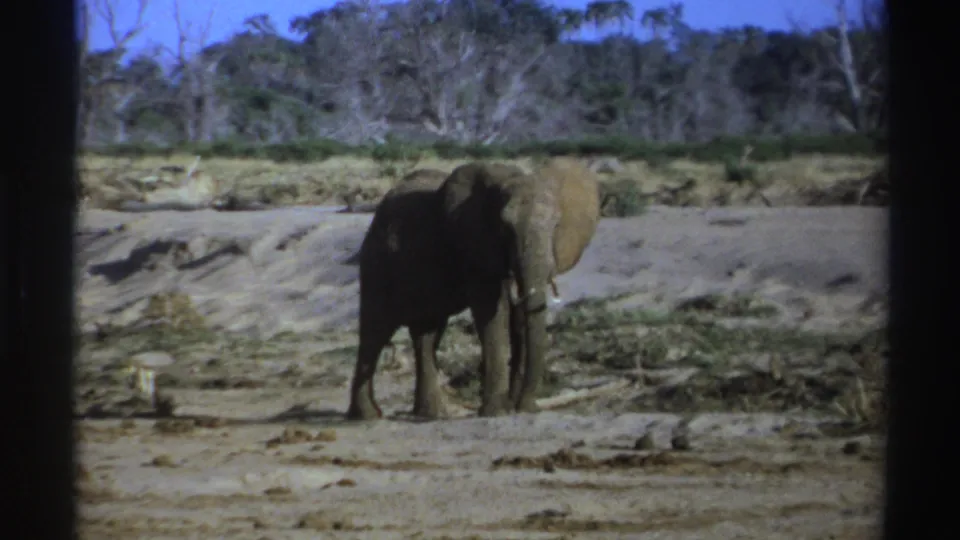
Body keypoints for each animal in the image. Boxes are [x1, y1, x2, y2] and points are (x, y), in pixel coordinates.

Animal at [438, 157, 600, 416]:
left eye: (556, 225)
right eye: (506, 227)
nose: (528, 407)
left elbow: (521, 319)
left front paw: (516, 406)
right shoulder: (477, 246)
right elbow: (491, 314)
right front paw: (496, 411)